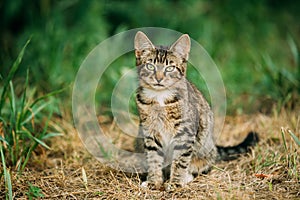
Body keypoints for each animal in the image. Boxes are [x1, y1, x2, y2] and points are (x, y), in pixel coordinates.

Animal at [134, 31, 258, 191]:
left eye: (169, 68)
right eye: (150, 66)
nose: (159, 78)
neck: (160, 97)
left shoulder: (185, 133)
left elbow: (180, 161)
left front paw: (175, 183)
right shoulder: (150, 131)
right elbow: (154, 158)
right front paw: (153, 182)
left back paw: (186, 177)